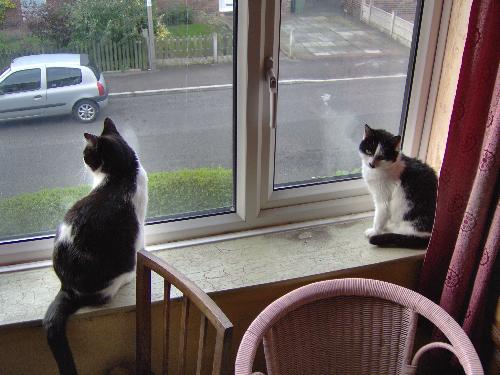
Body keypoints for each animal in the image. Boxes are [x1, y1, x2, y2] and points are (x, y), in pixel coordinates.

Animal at [43, 118, 146, 375]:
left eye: (86, 154)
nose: (82, 160)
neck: (122, 172)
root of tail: (67, 287)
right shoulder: (139, 226)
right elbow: (141, 244)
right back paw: (128, 277)